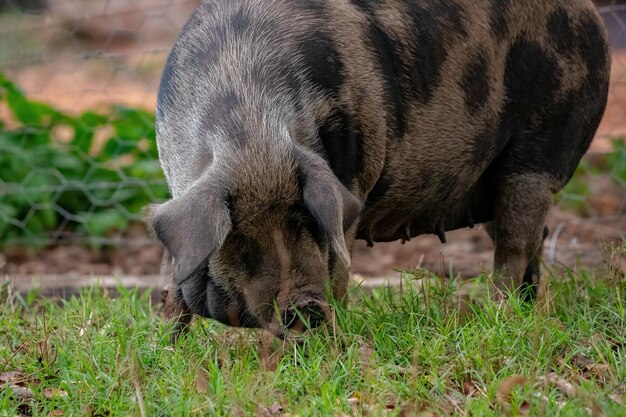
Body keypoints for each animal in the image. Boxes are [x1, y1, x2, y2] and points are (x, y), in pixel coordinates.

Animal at [145, 0, 604, 334]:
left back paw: (502, 320)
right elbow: (175, 286)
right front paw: (169, 347)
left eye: (308, 221)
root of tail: (592, 16)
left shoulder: (351, 185)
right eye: (238, 238)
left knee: (515, 245)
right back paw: (525, 311)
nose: (306, 305)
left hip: (539, 155)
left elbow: (340, 267)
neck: (249, 121)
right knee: (532, 241)